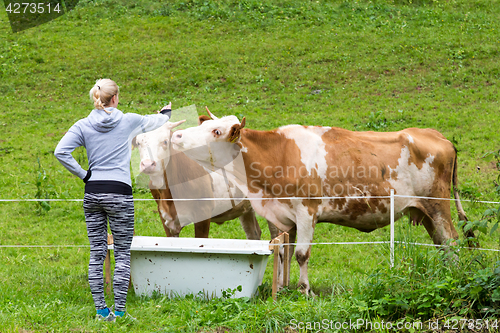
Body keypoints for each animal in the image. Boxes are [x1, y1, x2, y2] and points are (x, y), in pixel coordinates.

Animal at [131, 120, 268, 240]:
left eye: (165, 141)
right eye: (138, 143)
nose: (148, 164)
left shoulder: (203, 213)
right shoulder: (165, 216)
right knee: (254, 233)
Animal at [172, 109, 472, 294]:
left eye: (216, 132)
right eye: (203, 124)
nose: (176, 135)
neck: (278, 156)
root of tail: (435, 135)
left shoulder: (307, 211)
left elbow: (301, 254)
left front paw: (305, 291)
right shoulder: (278, 215)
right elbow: (282, 252)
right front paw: (282, 288)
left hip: (438, 205)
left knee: (452, 241)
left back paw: (455, 279)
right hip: (426, 211)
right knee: (442, 244)